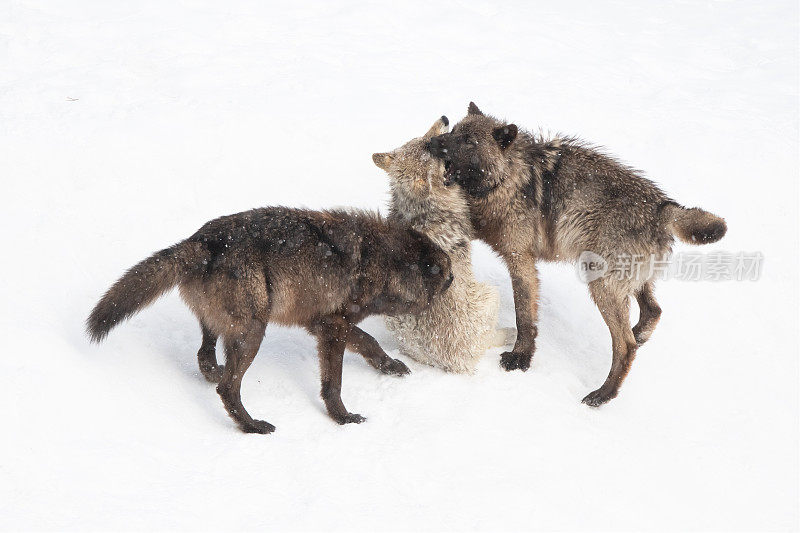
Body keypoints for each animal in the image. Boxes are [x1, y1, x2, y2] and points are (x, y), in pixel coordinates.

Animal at [86, 207, 456, 432]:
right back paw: (251, 426)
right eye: (446, 272)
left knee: (205, 357)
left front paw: (391, 366)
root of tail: (200, 242)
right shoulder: (333, 328)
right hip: (253, 334)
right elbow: (334, 383)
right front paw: (343, 418)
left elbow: (370, 342)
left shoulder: (325, 324)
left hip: (223, 327)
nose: (454, 280)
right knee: (227, 388)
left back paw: (217, 374)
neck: (383, 260)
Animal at [428, 102, 728, 406]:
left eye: (468, 141)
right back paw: (637, 338)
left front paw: (520, 358)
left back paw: (603, 394)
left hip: (600, 285)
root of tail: (663, 207)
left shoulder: (520, 259)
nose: (431, 144)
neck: (507, 178)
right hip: (630, 284)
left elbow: (524, 316)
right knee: (653, 313)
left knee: (625, 346)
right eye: (454, 131)